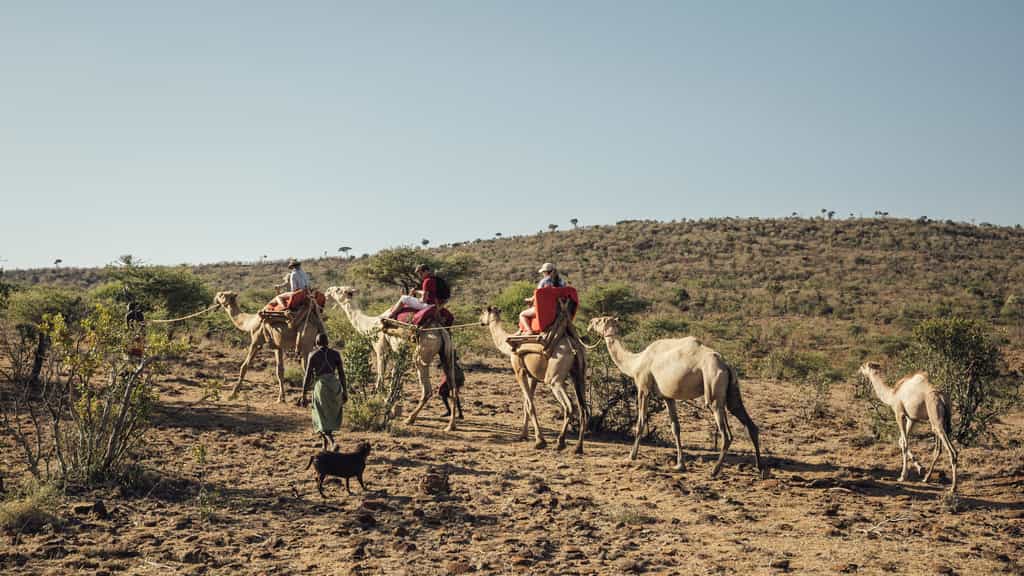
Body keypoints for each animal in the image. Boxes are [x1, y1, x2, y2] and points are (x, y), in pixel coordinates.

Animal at [324, 286, 460, 431]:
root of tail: (441, 331)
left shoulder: (380, 349)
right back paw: (451, 425)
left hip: (422, 354)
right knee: (453, 387)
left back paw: (410, 419)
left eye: (338, 290)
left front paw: (380, 408)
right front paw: (391, 408)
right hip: (447, 354)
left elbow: (380, 381)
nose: (328, 291)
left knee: (427, 389)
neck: (370, 325)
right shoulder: (396, 353)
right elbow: (394, 380)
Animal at [479, 306, 588, 453]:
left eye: (483, 312)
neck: (508, 344)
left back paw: (560, 442)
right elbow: (526, 404)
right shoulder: (532, 376)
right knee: (584, 409)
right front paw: (523, 435)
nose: (480, 320)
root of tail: (573, 346)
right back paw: (578, 447)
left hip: (554, 379)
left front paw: (540, 441)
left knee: (569, 405)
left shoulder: (519, 371)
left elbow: (530, 405)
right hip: (579, 376)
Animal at [587, 316, 763, 476]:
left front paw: (631, 456)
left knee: (726, 433)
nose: (590, 323)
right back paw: (760, 469)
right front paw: (680, 465)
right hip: (731, 391)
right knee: (747, 421)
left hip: (713, 384)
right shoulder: (668, 396)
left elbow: (641, 422)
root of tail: (726, 365)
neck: (635, 363)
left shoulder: (643, 387)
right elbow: (675, 427)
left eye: (600, 320)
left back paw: (714, 470)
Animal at [858, 362, 958, 492]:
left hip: (935, 415)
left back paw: (953, 488)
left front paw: (902, 476)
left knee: (952, 451)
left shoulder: (899, 413)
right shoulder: (912, 418)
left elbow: (904, 443)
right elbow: (901, 441)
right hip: (942, 420)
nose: (859, 369)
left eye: (864, 366)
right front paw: (920, 468)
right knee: (938, 449)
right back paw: (926, 478)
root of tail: (943, 398)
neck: (892, 394)